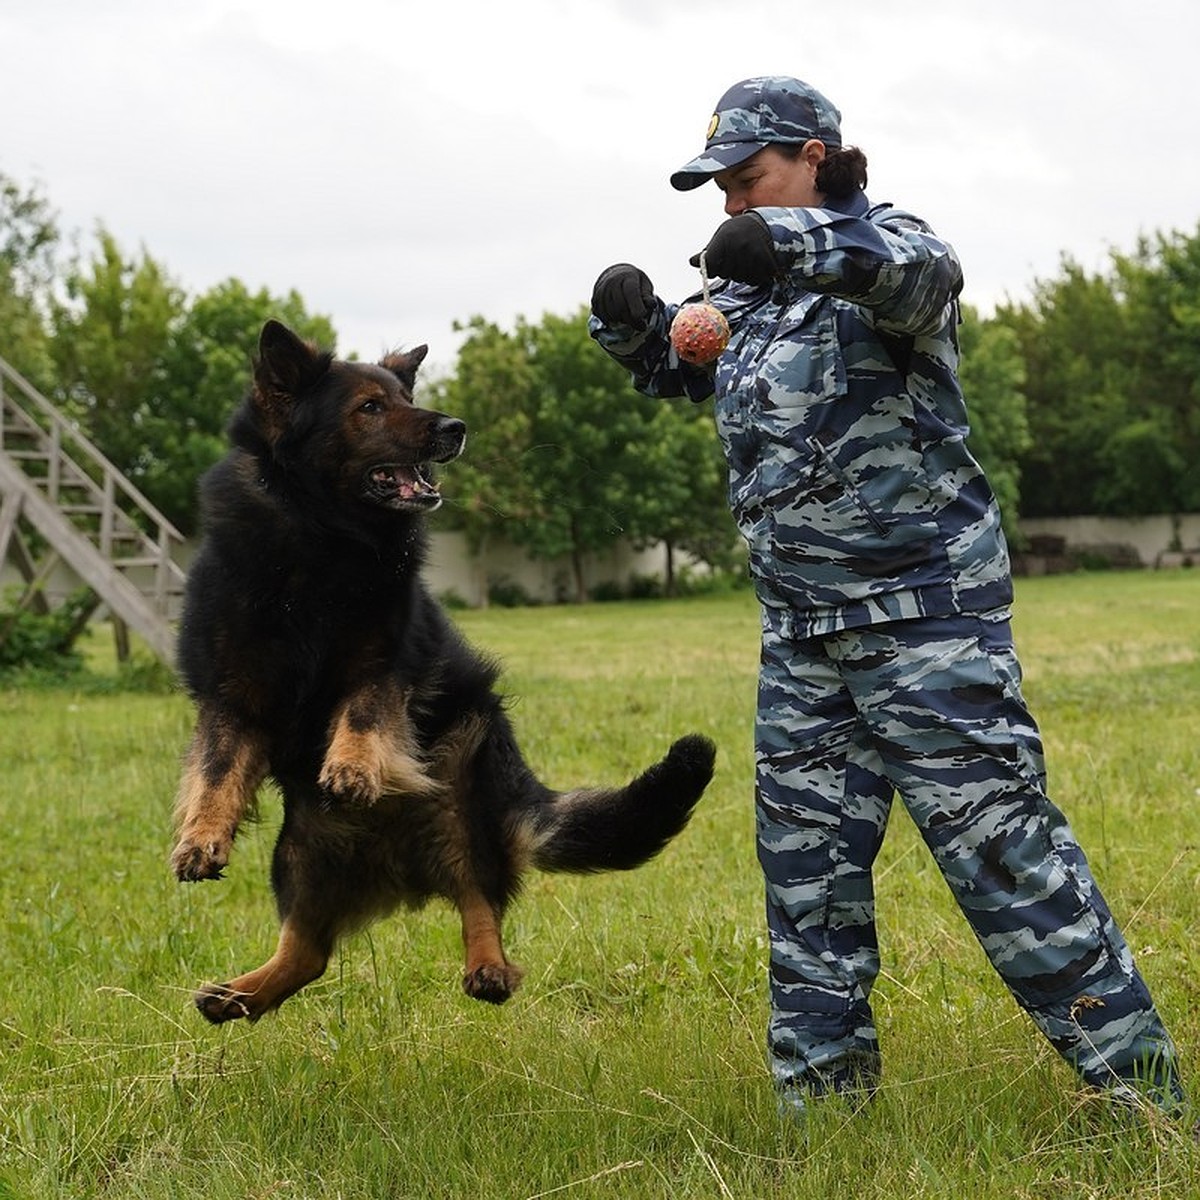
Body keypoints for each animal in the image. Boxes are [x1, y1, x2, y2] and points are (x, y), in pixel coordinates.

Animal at [168, 316, 710, 1022]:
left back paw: (488, 967)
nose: (455, 427)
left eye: (406, 397)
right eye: (370, 408)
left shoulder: (385, 661)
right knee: (307, 953)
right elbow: (215, 768)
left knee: (478, 897)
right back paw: (238, 996)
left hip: (458, 805)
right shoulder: (232, 692)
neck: (321, 538)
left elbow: (365, 709)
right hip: (301, 852)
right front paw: (201, 836)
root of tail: (397, 865)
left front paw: (351, 767)